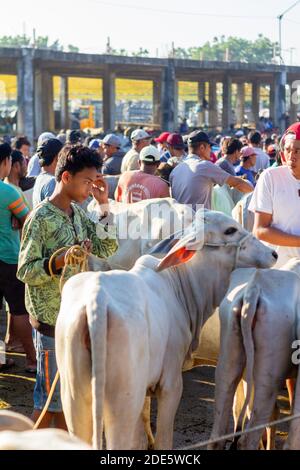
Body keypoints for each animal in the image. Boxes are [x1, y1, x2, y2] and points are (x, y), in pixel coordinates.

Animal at [55, 211, 276, 450]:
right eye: (230, 230)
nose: (273, 254)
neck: (179, 283)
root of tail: (96, 303)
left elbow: (141, 437)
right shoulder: (170, 384)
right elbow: (162, 439)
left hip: (74, 397)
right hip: (121, 400)